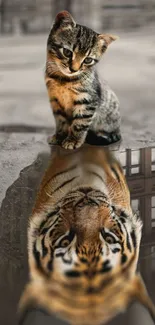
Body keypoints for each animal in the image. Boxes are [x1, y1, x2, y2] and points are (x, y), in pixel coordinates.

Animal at [45, 10, 121, 150]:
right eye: (67, 52)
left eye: (88, 60)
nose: (73, 69)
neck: (64, 80)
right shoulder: (55, 101)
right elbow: (60, 121)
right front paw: (59, 136)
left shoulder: (87, 101)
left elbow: (80, 123)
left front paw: (73, 140)